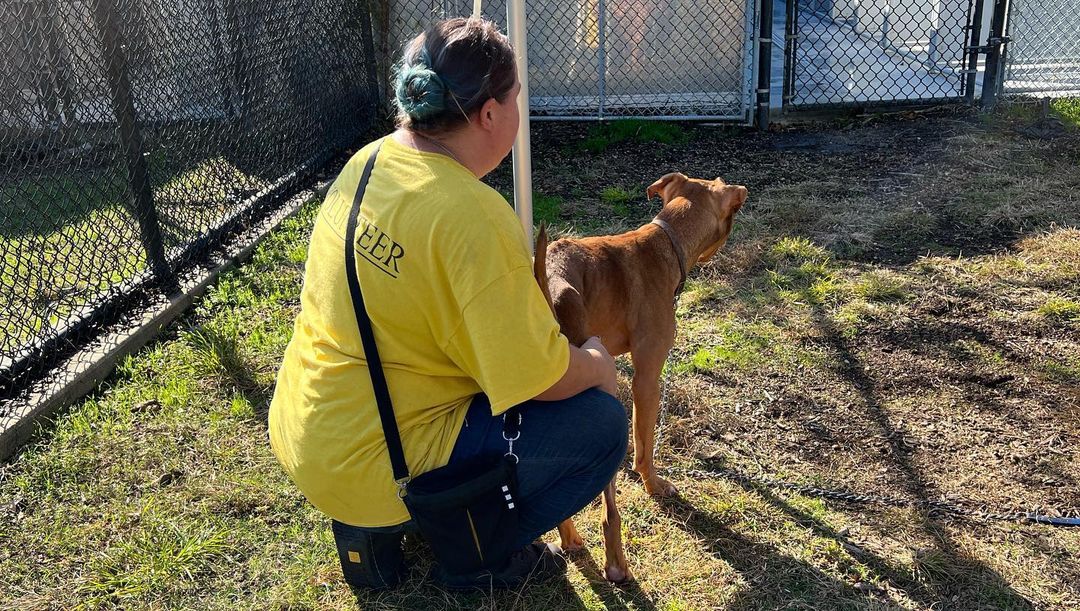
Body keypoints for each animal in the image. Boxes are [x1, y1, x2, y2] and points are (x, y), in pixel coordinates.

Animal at [533, 172, 751, 582]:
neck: (666, 241)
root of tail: (544, 282)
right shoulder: (647, 377)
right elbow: (645, 447)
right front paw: (653, 484)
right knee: (608, 511)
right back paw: (616, 565)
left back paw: (569, 540)